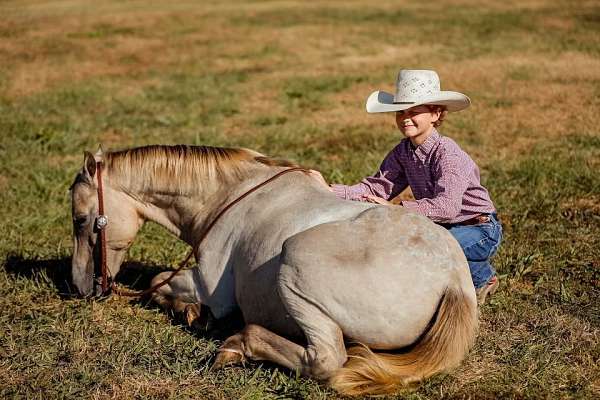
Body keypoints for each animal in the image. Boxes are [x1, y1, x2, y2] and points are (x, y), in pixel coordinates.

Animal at [69, 145, 478, 396]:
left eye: (80, 219)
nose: (78, 286)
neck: (228, 195)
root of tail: (452, 279)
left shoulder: (210, 288)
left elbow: (158, 283)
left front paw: (193, 313)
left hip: (295, 262)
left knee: (326, 361)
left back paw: (239, 345)